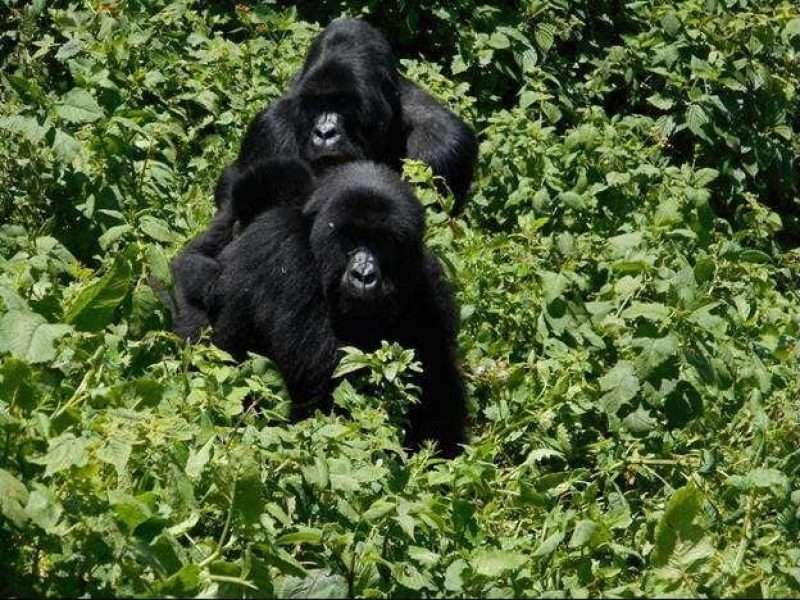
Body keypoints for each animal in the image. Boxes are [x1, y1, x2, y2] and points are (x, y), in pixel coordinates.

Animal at [194, 159, 466, 460]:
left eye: (384, 241)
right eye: (350, 237)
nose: (364, 275)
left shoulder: (428, 284)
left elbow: (438, 383)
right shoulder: (284, 249)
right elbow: (327, 386)